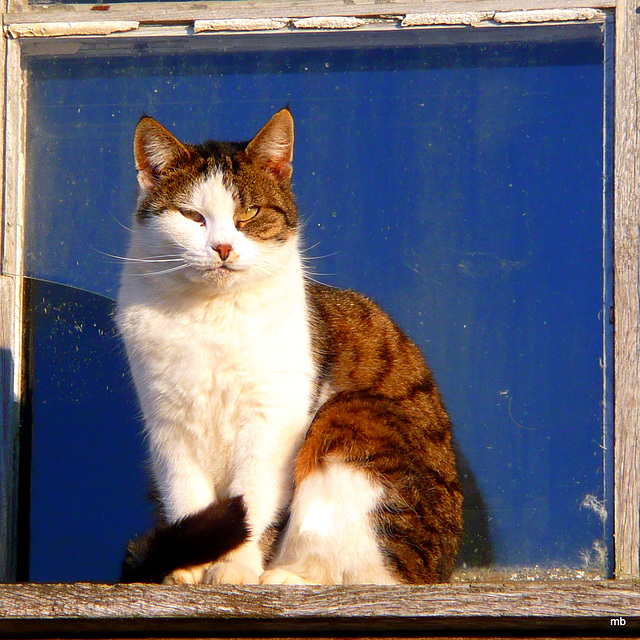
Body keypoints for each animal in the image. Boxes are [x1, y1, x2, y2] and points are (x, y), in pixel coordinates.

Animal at [117, 106, 462, 584]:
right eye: (191, 216)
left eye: (249, 212)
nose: (222, 248)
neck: (210, 315)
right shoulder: (167, 424)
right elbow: (186, 496)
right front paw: (187, 570)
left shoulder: (272, 420)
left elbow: (253, 500)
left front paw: (235, 568)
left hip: (352, 419)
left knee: (372, 573)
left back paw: (287, 577)